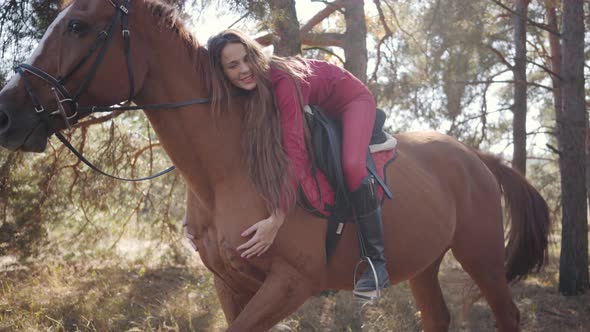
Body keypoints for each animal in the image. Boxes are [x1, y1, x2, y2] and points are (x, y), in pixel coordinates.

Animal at [0, 1, 556, 330]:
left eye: (77, 25)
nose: (7, 112)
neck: (227, 166)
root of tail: (475, 157)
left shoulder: (291, 283)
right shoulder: (231, 284)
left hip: (481, 257)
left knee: (507, 313)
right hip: (425, 262)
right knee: (437, 316)